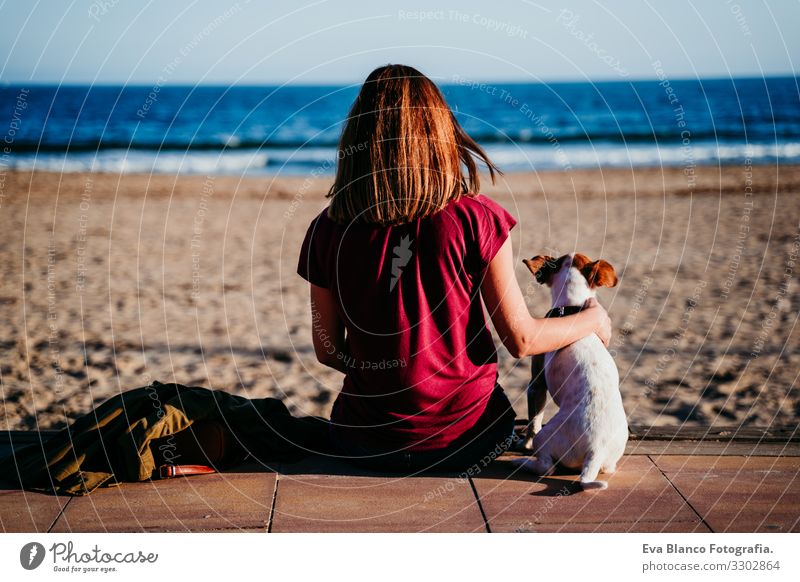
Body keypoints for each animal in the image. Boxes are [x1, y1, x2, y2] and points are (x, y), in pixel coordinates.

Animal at [512, 253, 632, 490]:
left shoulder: (536, 384)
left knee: (546, 467)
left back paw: (522, 462)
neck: (571, 309)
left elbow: (533, 421)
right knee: (607, 468)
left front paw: (524, 444)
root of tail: (596, 450)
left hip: (546, 436)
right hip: (610, 458)